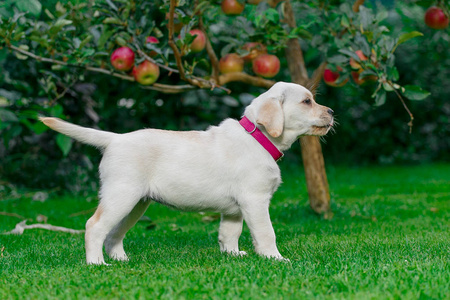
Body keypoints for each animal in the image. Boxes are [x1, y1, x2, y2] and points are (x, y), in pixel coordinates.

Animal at [39, 82, 334, 264]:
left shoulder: (235, 209)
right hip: (121, 196)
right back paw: (96, 263)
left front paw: (233, 255)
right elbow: (266, 233)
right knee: (94, 226)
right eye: (307, 101)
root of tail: (115, 138)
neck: (257, 138)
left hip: (136, 204)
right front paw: (275, 258)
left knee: (114, 234)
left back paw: (121, 259)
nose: (331, 111)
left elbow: (230, 233)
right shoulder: (255, 200)